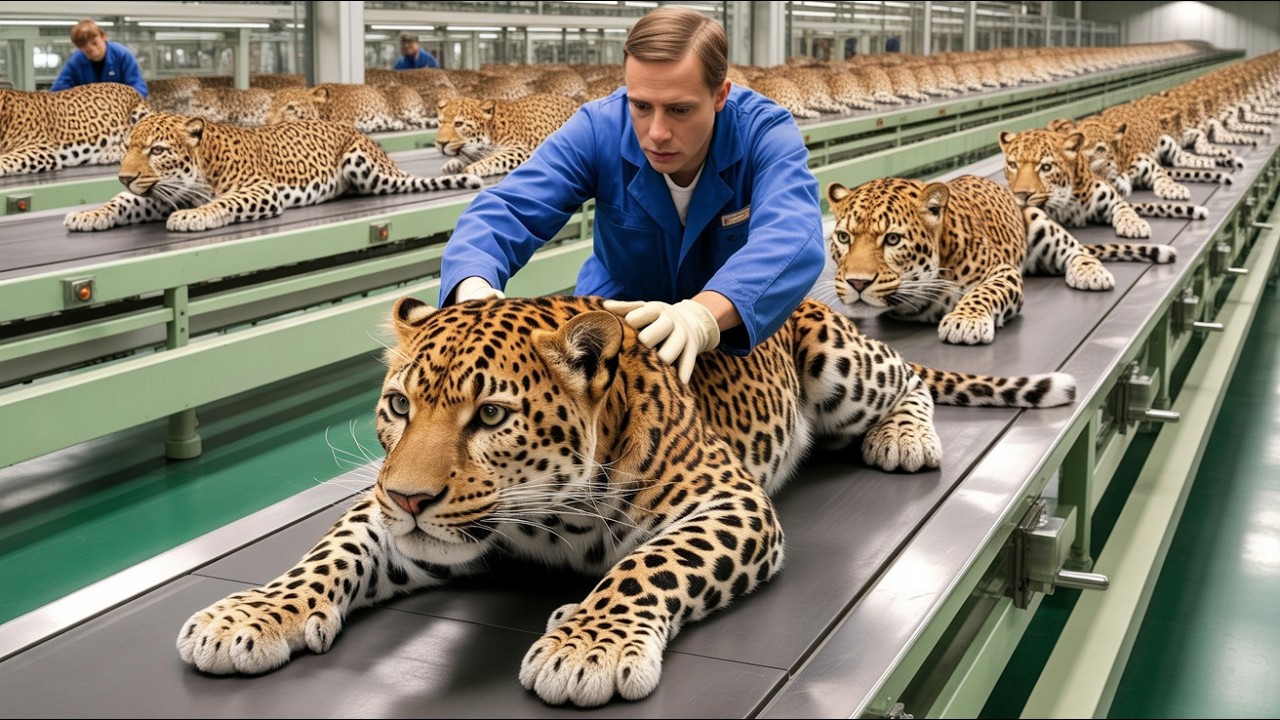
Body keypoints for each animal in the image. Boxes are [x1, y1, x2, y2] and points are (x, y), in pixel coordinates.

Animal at [64, 113, 482, 233]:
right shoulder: (158, 194)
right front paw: (88, 213)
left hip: (365, 167)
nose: (124, 176)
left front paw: (193, 216)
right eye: (128, 148)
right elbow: (122, 203)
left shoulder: (261, 189)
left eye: (157, 150)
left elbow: (222, 202)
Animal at [176, 294, 1077, 707]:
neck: (543, 513)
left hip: (840, 365)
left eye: (490, 415)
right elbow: (328, 552)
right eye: (399, 406)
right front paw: (251, 613)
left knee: (908, 380)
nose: (408, 497)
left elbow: (648, 566)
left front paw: (589, 647)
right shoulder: (397, 523)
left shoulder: (727, 501)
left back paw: (905, 438)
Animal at [435, 93, 582, 177]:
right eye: (440, 122)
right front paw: (453, 163)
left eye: (459, 124)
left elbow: (493, 159)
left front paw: (470, 169)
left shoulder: (520, 150)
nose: (440, 143)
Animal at [818, 175, 1175, 345]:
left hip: (1038, 221)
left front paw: (965, 321)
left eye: (892, 239)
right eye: (844, 238)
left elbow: (982, 293)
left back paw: (1091, 273)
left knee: (1077, 249)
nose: (857, 282)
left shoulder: (1001, 271)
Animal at [998, 128, 1206, 240]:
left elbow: (1125, 209)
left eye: (1046, 167)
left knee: (1162, 166)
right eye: (1013, 165)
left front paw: (1134, 225)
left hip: (1139, 160)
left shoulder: (1109, 194)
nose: (1022, 194)